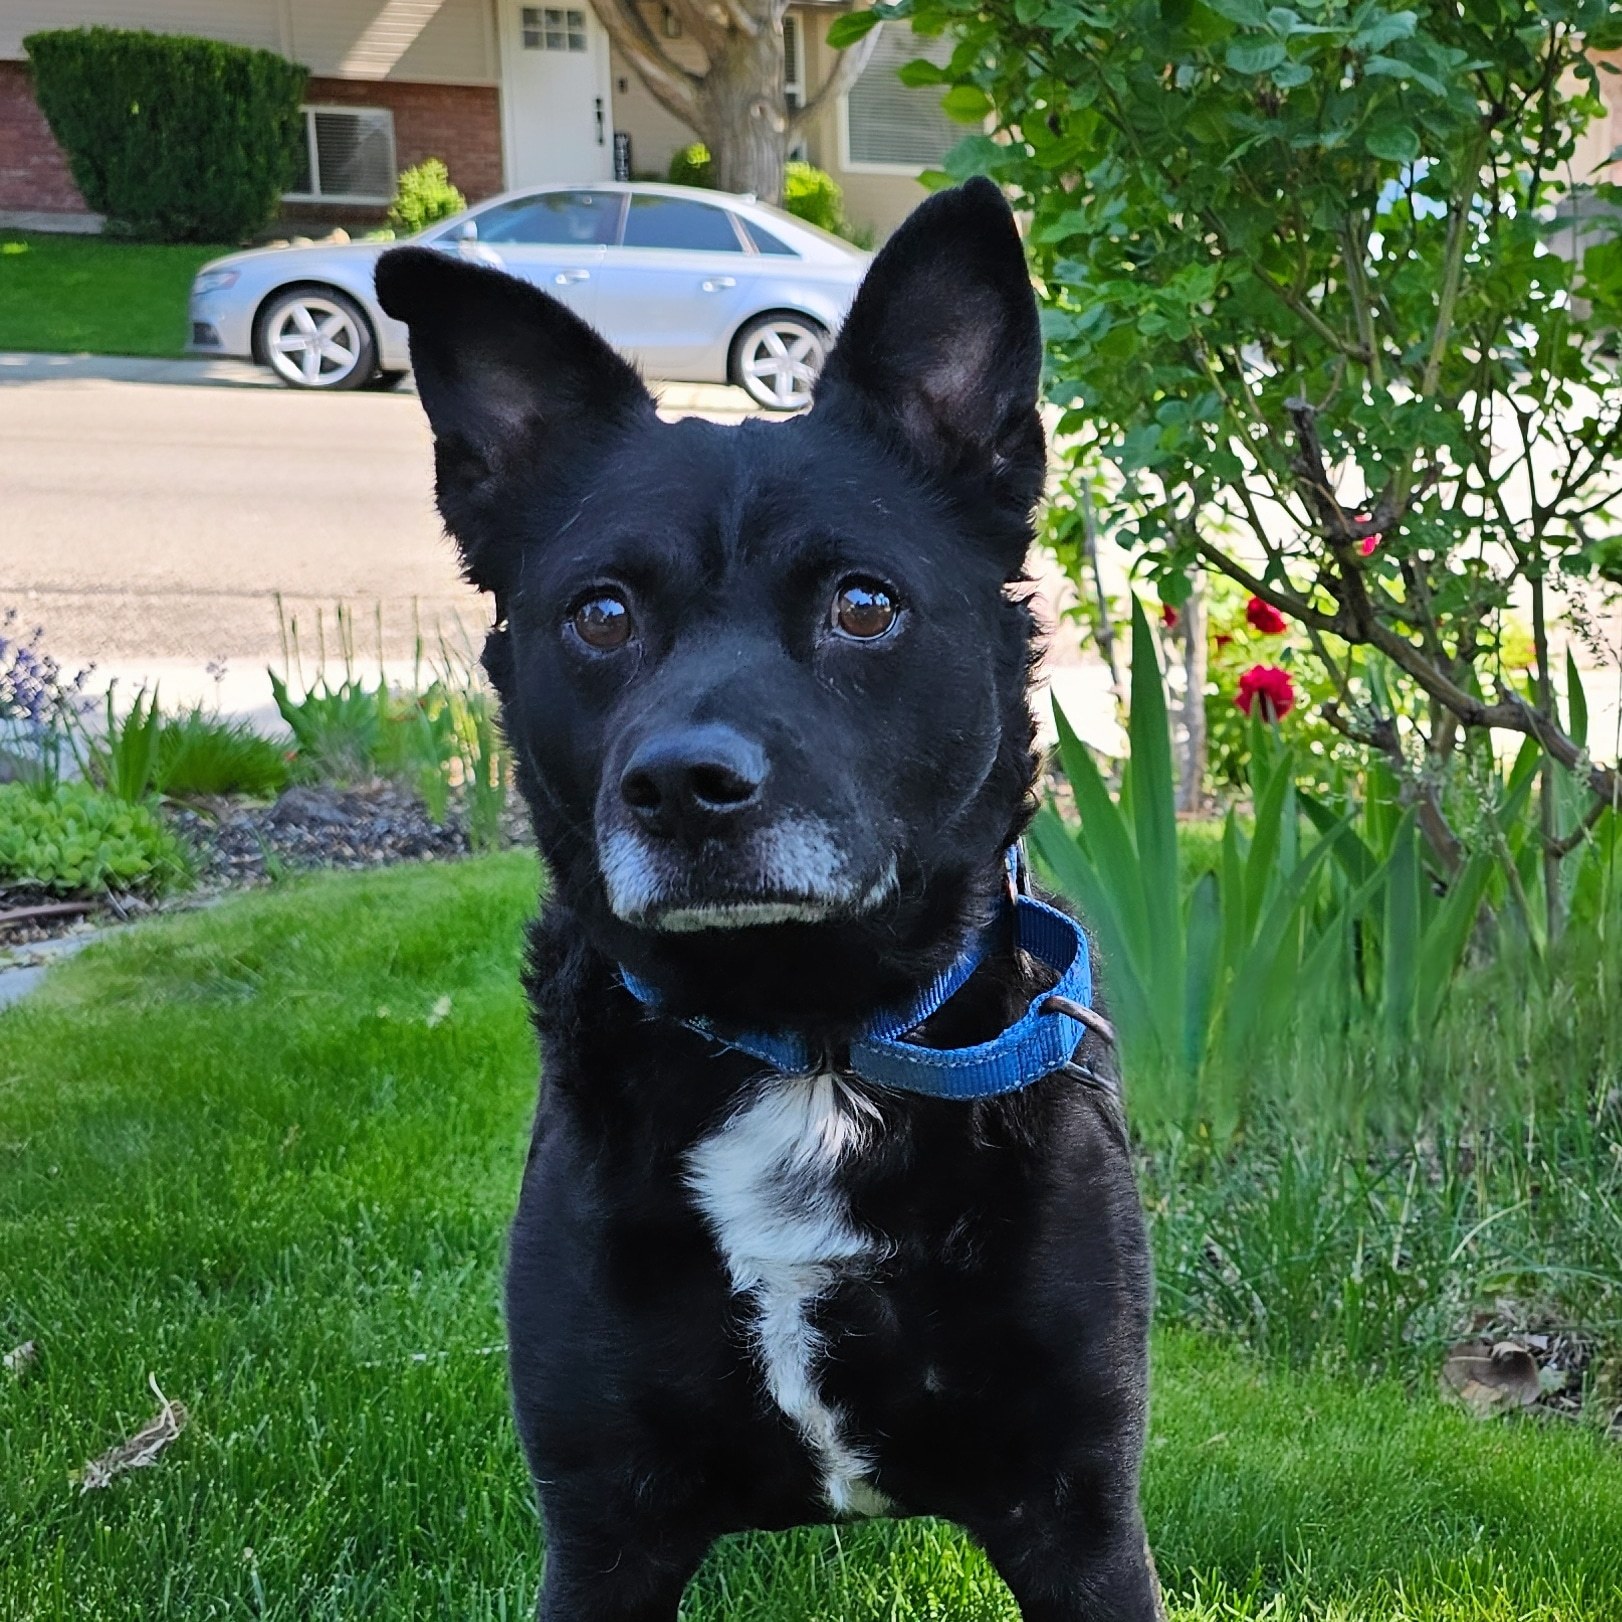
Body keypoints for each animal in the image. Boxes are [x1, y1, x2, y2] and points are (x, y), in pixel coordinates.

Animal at [376, 180, 1167, 1622]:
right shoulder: (603, 1527)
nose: (682, 788)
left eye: (862, 603)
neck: (808, 1040)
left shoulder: (1078, 1513)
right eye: (600, 613)